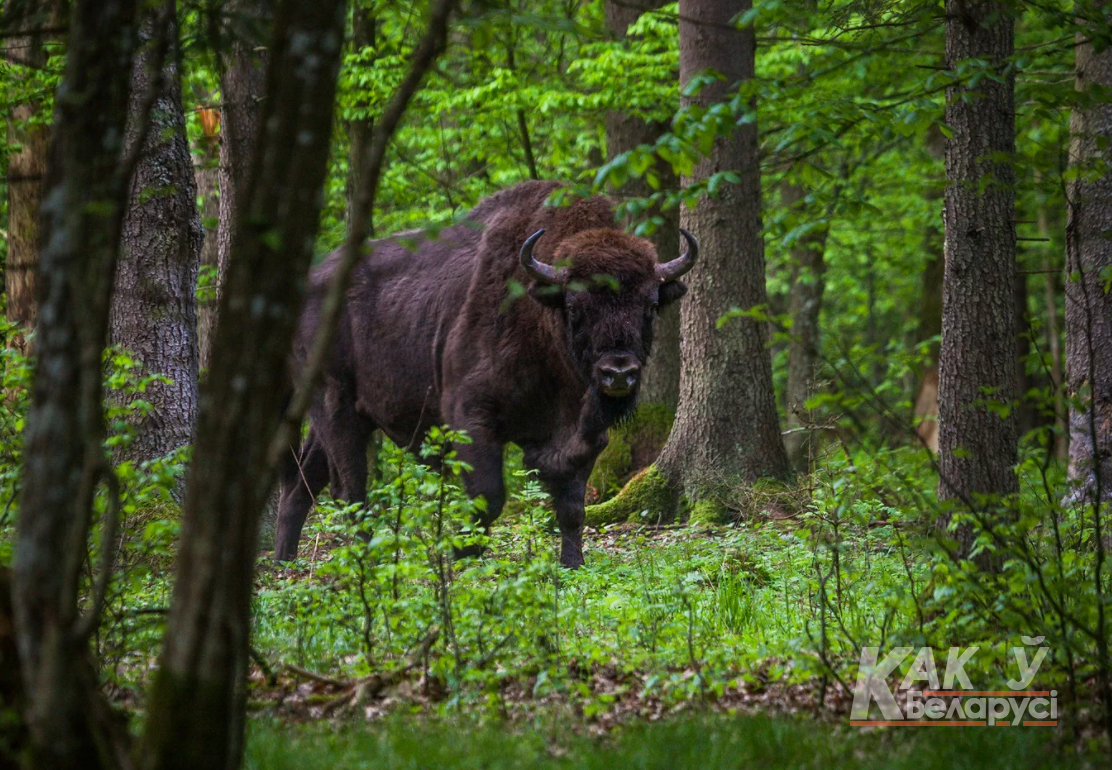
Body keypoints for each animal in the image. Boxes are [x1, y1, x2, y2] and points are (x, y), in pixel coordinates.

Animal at [274, 180, 693, 565]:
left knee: (300, 485)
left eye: (650, 305)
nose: (618, 373)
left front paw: (572, 565)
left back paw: (285, 563)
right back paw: (366, 564)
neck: (539, 316)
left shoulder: (583, 437)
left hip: (340, 416)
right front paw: (465, 561)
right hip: (335, 404)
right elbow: (487, 499)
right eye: (575, 306)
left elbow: (572, 508)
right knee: (350, 489)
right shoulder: (470, 417)